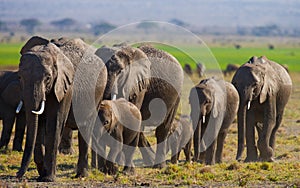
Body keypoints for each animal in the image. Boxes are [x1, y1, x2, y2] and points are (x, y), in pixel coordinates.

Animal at [16, 36, 107, 181]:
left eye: (48, 78)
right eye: (19, 77)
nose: (17, 175)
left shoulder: (65, 87)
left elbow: (54, 123)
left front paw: (48, 179)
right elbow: (39, 124)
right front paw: (42, 174)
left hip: (98, 93)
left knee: (86, 128)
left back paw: (81, 175)